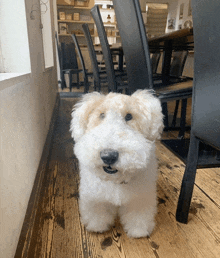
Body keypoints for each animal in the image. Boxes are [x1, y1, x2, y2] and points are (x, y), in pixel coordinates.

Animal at [70, 89, 163, 238]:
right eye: (101, 115)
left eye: (129, 116)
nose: (108, 156)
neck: (115, 179)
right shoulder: (95, 197)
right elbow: (98, 212)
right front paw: (97, 226)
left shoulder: (139, 198)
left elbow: (138, 215)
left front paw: (138, 230)